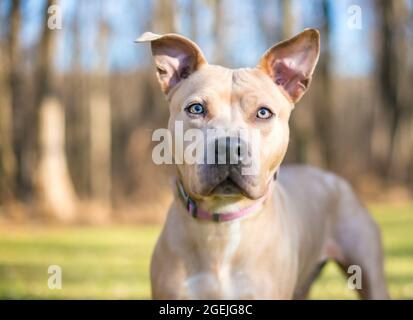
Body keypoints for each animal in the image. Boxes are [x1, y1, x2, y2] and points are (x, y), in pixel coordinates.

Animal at [137, 28, 388, 298]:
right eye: (196, 108)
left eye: (263, 112)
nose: (228, 148)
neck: (222, 224)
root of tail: (332, 178)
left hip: (369, 273)